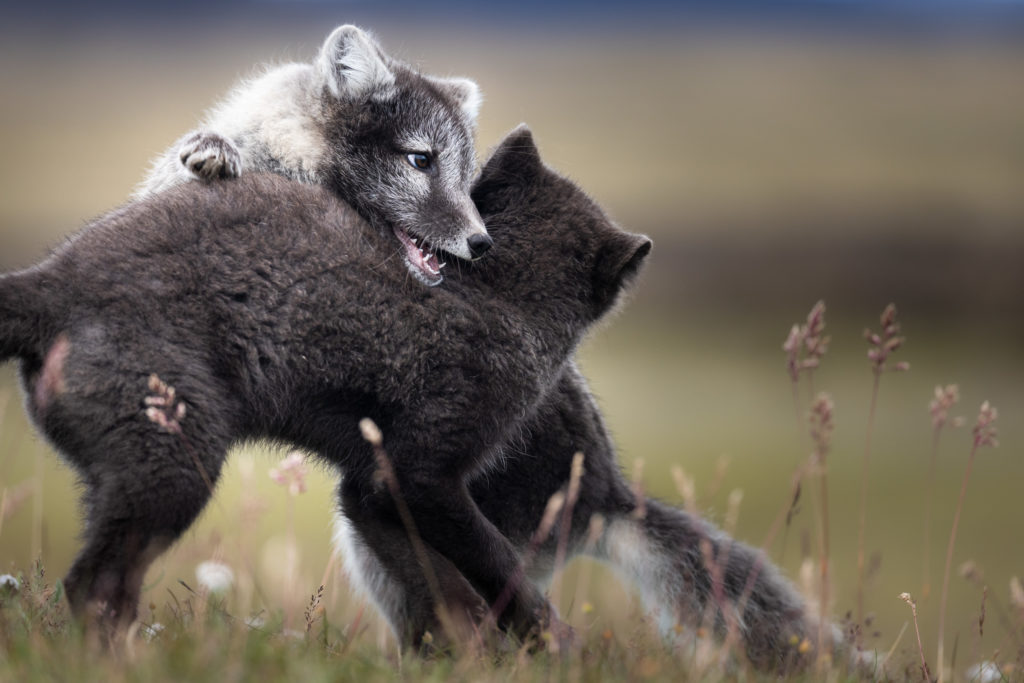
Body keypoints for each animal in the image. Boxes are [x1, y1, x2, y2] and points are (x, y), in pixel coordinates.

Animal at [0, 127, 651, 644]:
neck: (503, 293)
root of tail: (49, 283)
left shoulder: (367, 486)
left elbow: (433, 584)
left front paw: (458, 650)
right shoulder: (423, 468)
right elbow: (493, 563)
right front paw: (552, 644)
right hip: (172, 457)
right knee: (94, 586)